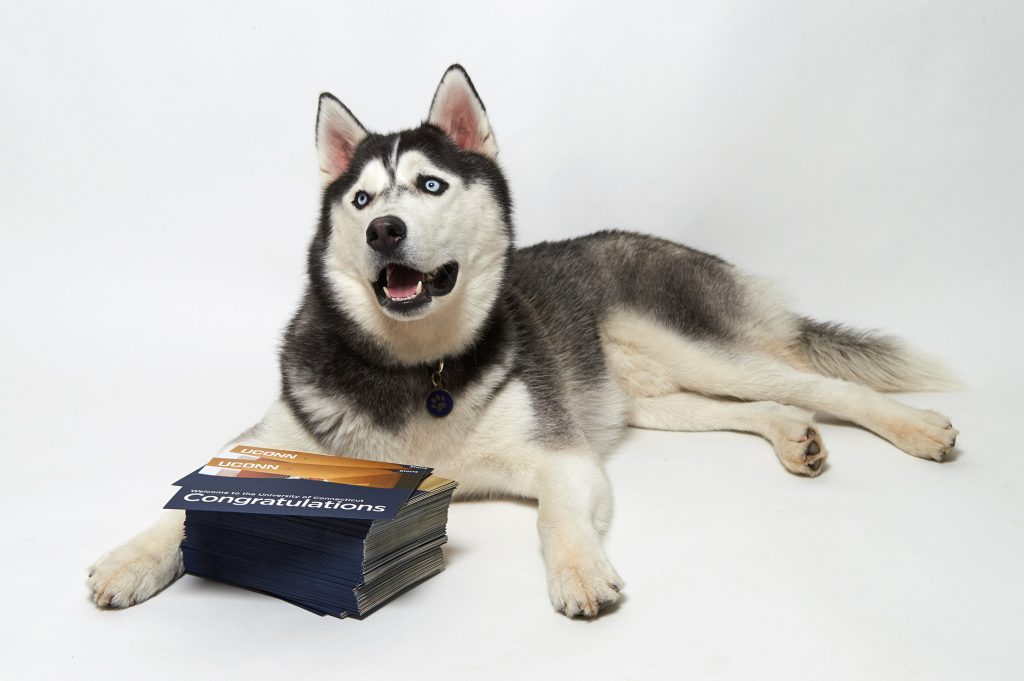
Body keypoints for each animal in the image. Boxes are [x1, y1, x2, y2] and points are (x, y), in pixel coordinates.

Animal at [90, 63, 958, 614]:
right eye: (362, 197)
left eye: (430, 185)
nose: (383, 228)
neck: (416, 369)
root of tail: (663, 241)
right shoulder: (268, 440)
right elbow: (183, 502)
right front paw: (132, 555)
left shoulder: (562, 456)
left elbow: (556, 516)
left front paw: (580, 570)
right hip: (646, 396)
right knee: (758, 404)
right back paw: (792, 437)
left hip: (694, 343)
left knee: (820, 383)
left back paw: (917, 428)